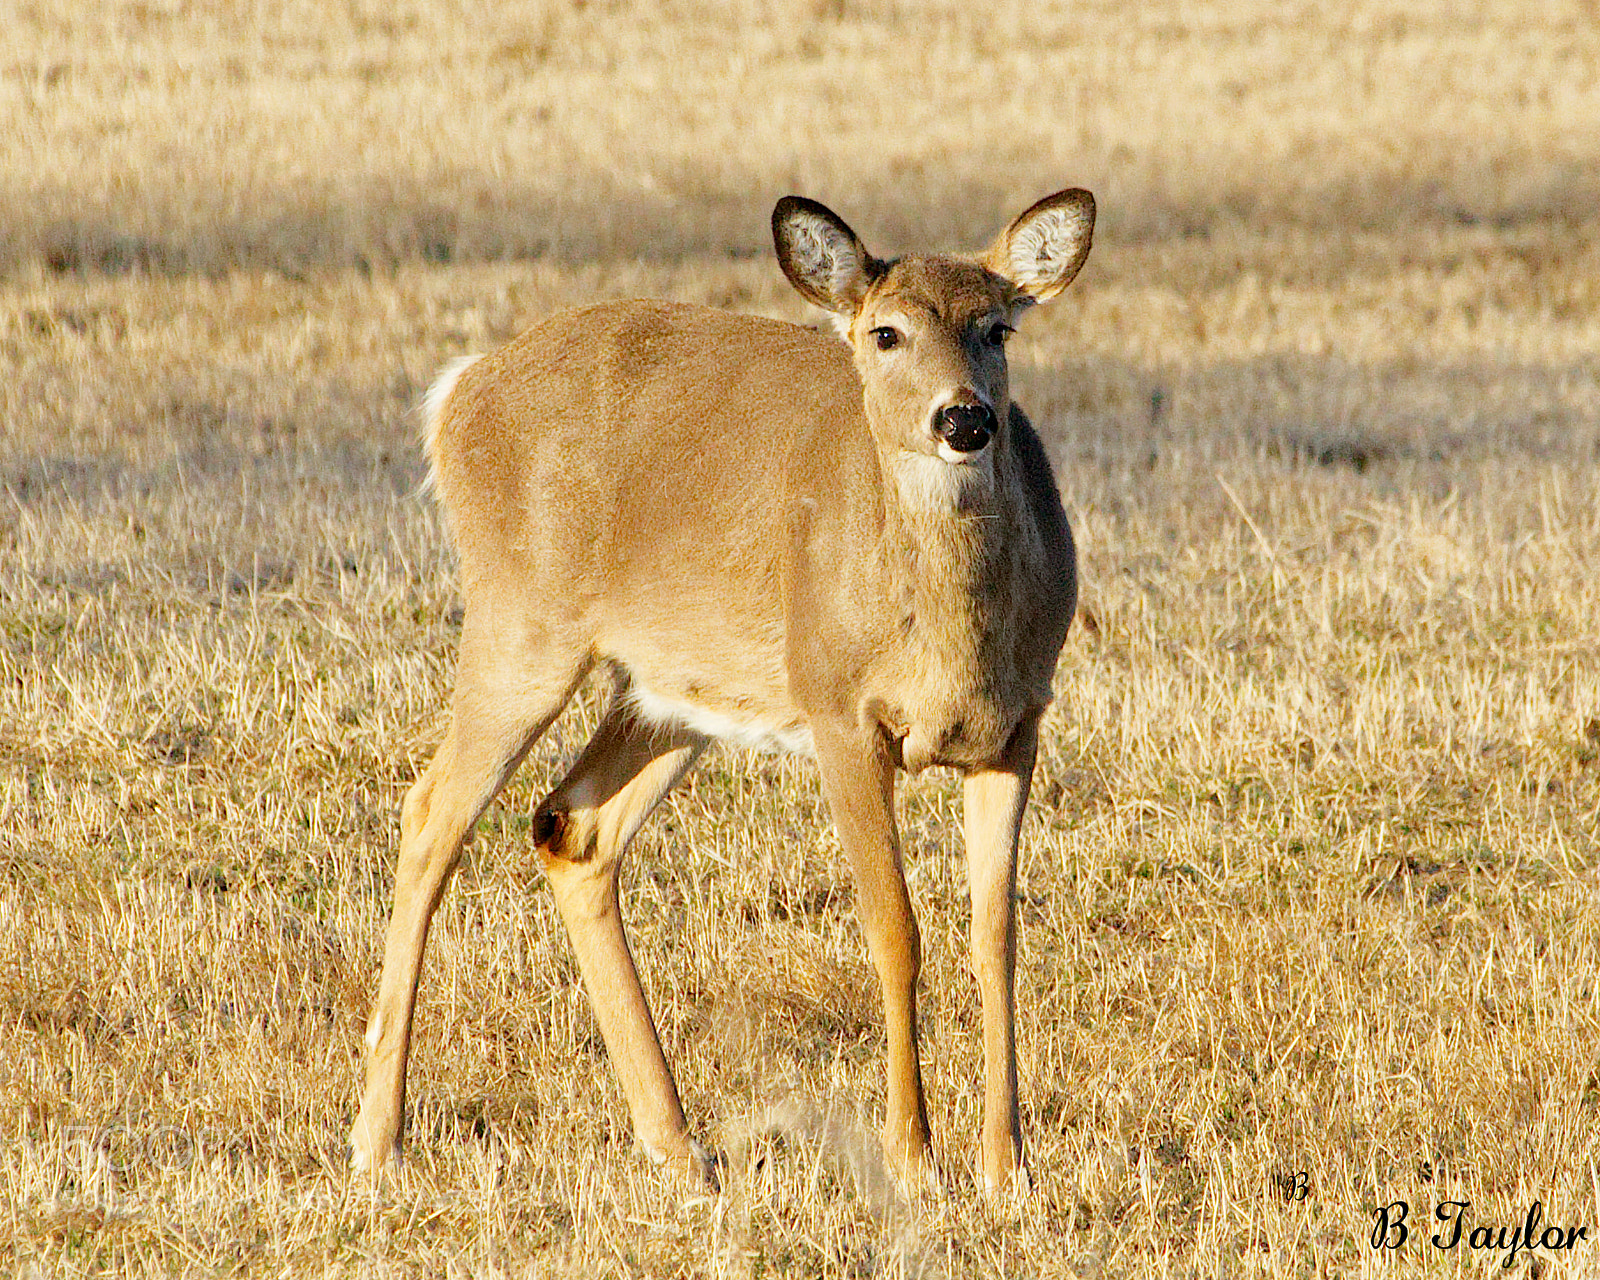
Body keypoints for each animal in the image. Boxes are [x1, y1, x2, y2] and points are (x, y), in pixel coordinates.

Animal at [350, 187, 1095, 1196]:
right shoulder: (838, 709)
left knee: (572, 826)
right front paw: (911, 1158)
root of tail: (458, 393)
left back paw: (677, 1146)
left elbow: (996, 941)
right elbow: (894, 930)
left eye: (997, 328)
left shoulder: (1017, 725)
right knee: (431, 815)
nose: (965, 420)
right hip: (521, 621)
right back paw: (376, 1139)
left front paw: (1006, 1168)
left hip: (666, 691)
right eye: (888, 333)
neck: (950, 640)